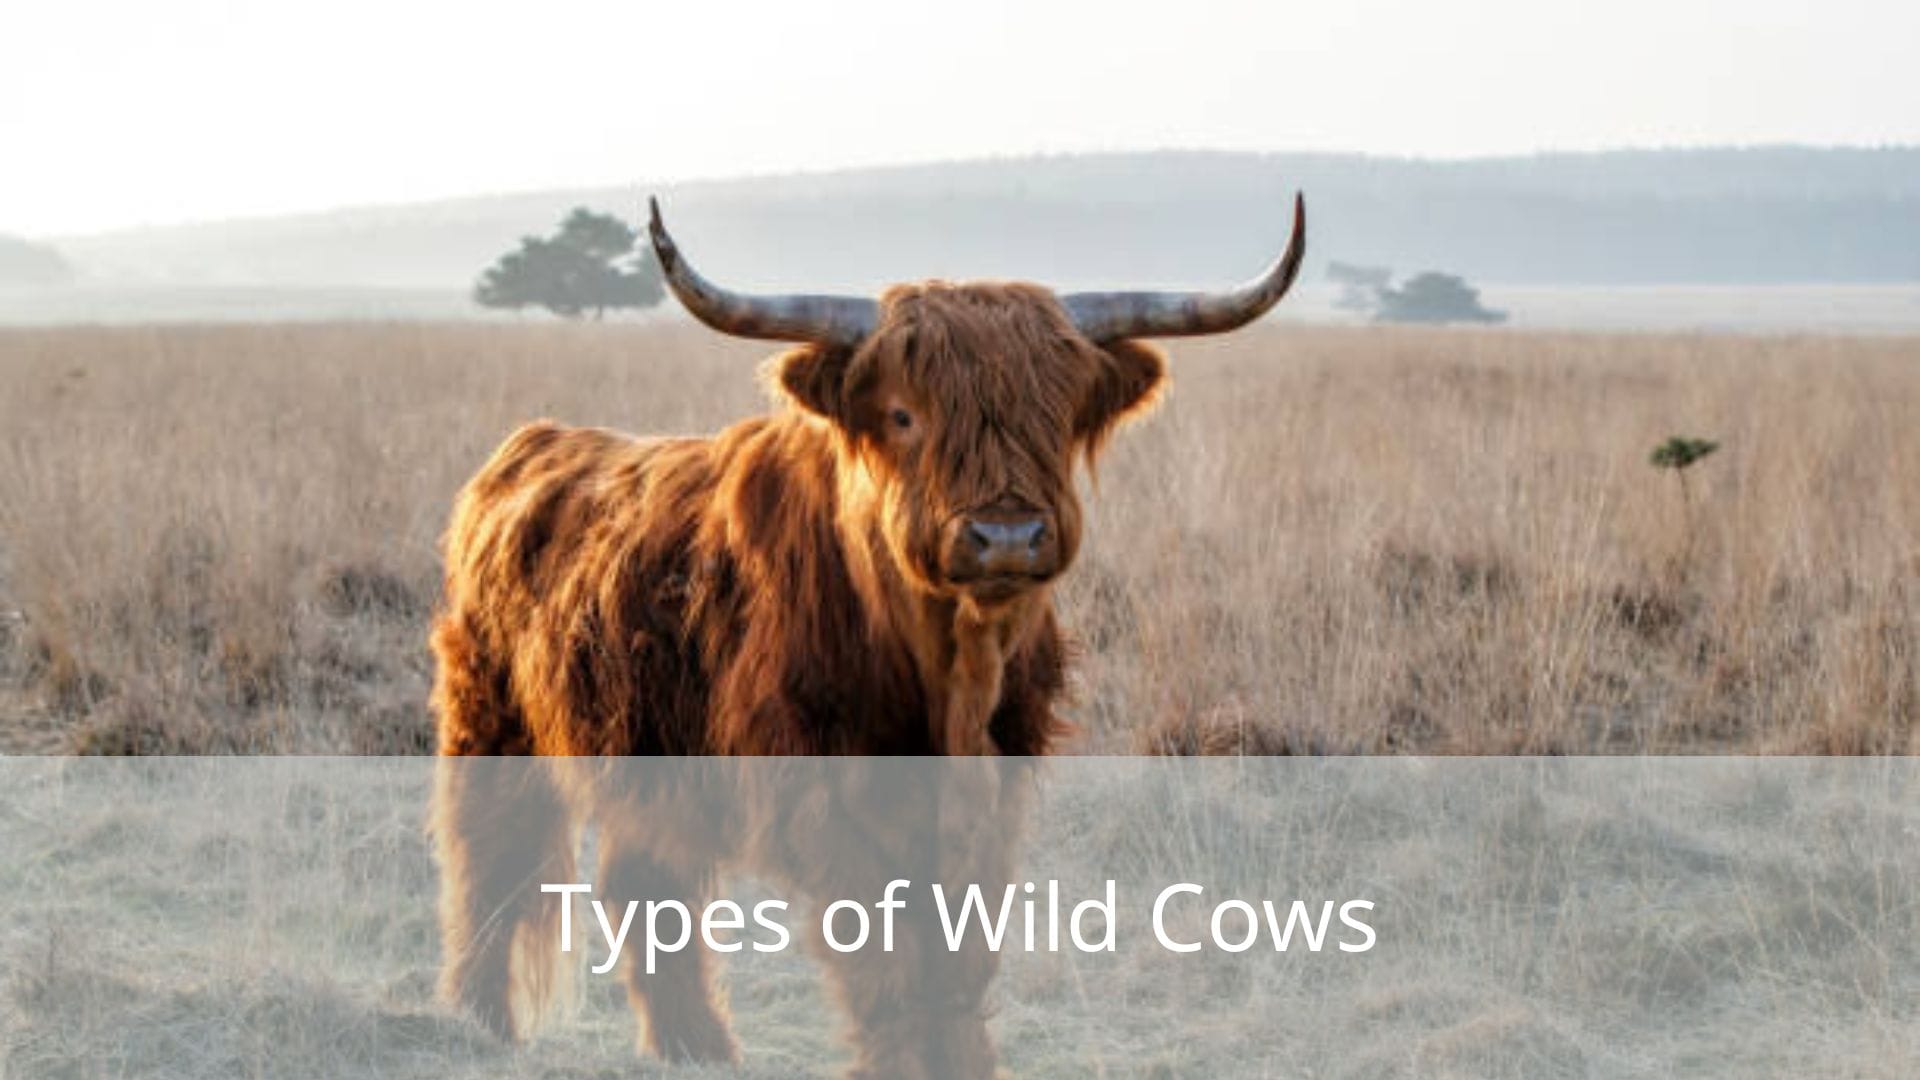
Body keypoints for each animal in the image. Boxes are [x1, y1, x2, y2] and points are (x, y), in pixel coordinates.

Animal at [428, 195, 1305, 1077]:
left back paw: (696, 1048)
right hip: (491, 721)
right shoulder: (823, 795)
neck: (950, 673)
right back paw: (477, 1020)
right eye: (904, 414)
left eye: (1056, 416)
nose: (1008, 535)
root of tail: (533, 445)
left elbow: (959, 956)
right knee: (487, 863)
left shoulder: (996, 792)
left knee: (645, 882)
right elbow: (886, 960)